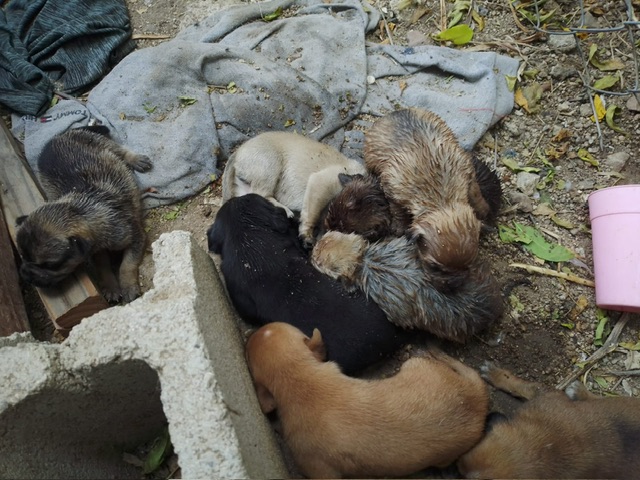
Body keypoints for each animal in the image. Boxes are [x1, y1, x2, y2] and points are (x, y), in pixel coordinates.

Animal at [15, 125, 151, 302]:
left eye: (50, 265)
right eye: (22, 256)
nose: (25, 275)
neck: (81, 210)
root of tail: (57, 136)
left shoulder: (134, 236)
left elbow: (127, 264)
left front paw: (127, 285)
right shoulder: (96, 250)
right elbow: (102, 265)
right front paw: (110, 285)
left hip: (99, 143)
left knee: (119, 150)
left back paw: (136, 159)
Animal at [364, 107, 490, 276]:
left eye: (467, 267)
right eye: (434, 266)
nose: (451, 283)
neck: (443, 198)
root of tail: (395, 112)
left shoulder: (466, 171)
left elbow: (475, 191)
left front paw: (482, 208)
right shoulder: (392, 187)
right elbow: (397, 209)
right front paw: (399, 227)